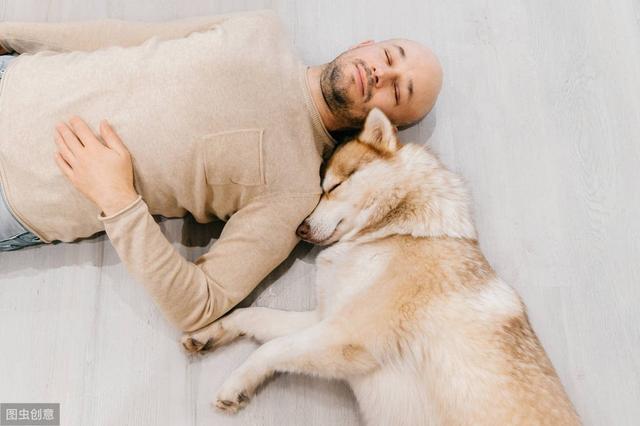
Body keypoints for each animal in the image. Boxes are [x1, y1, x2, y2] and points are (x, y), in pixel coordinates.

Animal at [179, 108, 580, 424]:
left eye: (333, 186)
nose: (300, 229)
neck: (392, 232)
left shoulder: (345, 333)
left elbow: (270, 349)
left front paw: (235, 384)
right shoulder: (325, 318)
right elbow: (256, 315)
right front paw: (211, 333)